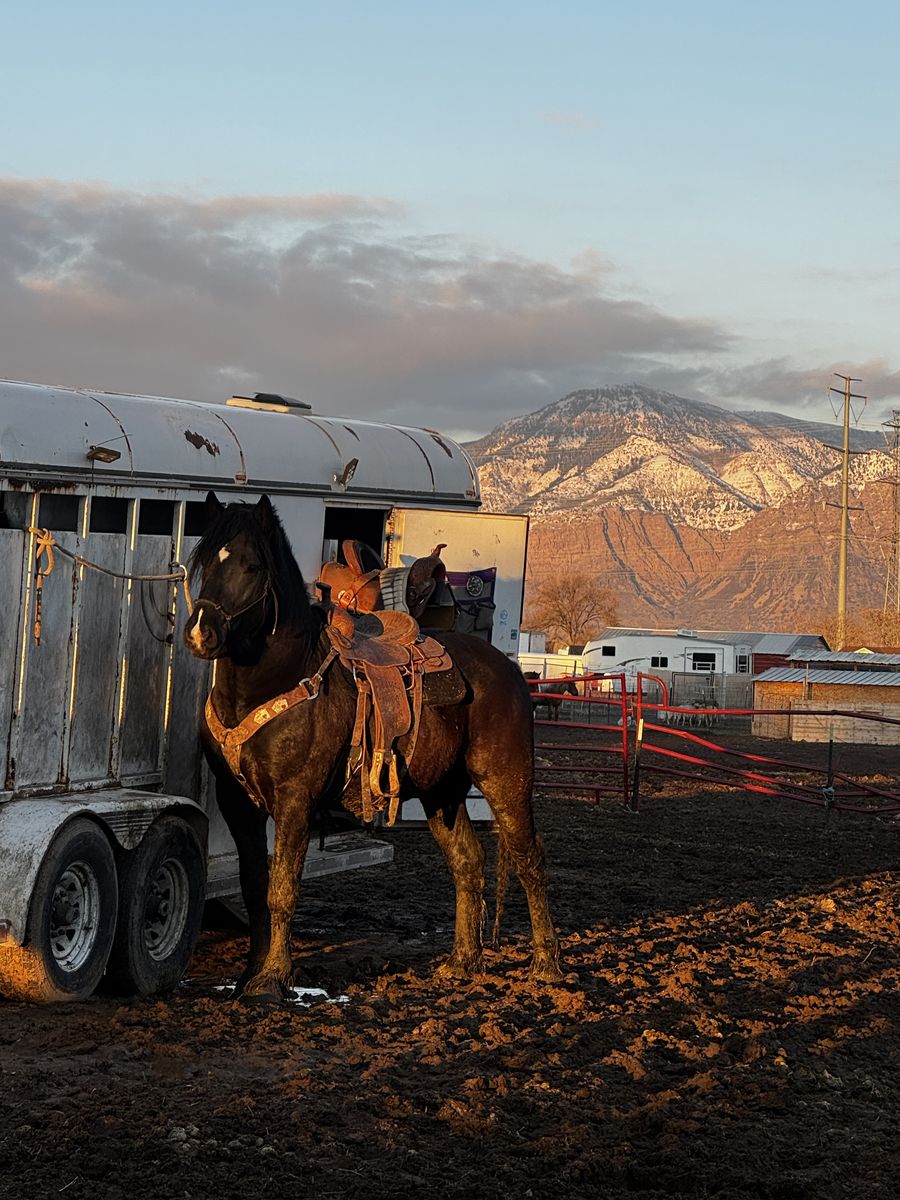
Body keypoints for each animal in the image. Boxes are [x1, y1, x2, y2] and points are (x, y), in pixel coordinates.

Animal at [184, 494, 561, 998]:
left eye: (251, 565)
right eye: (205, 561)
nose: (201, 633)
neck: (273, 684)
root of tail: (510, 670)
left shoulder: (295, 801)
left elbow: (282, 888)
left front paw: (272, 978)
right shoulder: (237, 804)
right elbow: (253, 886)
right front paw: (248, 976)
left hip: (506, 781)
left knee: (528, 858)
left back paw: (546, 965)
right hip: (442, 793)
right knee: (468, 861)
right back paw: (462, 962)